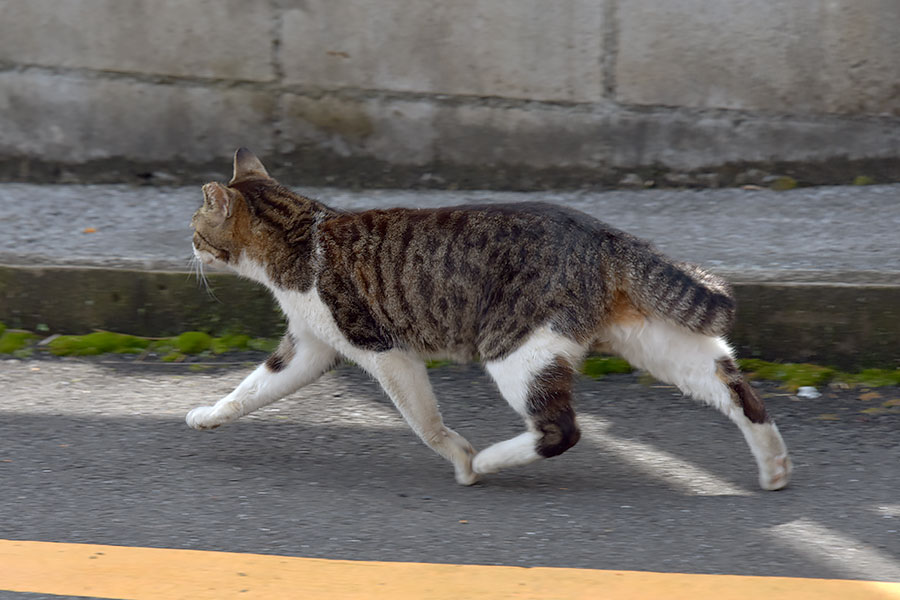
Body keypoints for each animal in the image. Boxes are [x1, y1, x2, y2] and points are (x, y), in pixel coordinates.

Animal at [186, 148, 792, 490]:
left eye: (195, 228)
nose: (187, 246)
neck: (298, 236)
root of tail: (601, 233)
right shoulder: (311, 346)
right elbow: (251, 388)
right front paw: (208, 416)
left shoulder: (383, 349)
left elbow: (425, 423)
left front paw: (460, 458)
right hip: (656, 342)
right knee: (736, 388)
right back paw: (774, 466)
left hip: (515, 350)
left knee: (562, 430)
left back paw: (491, 460)